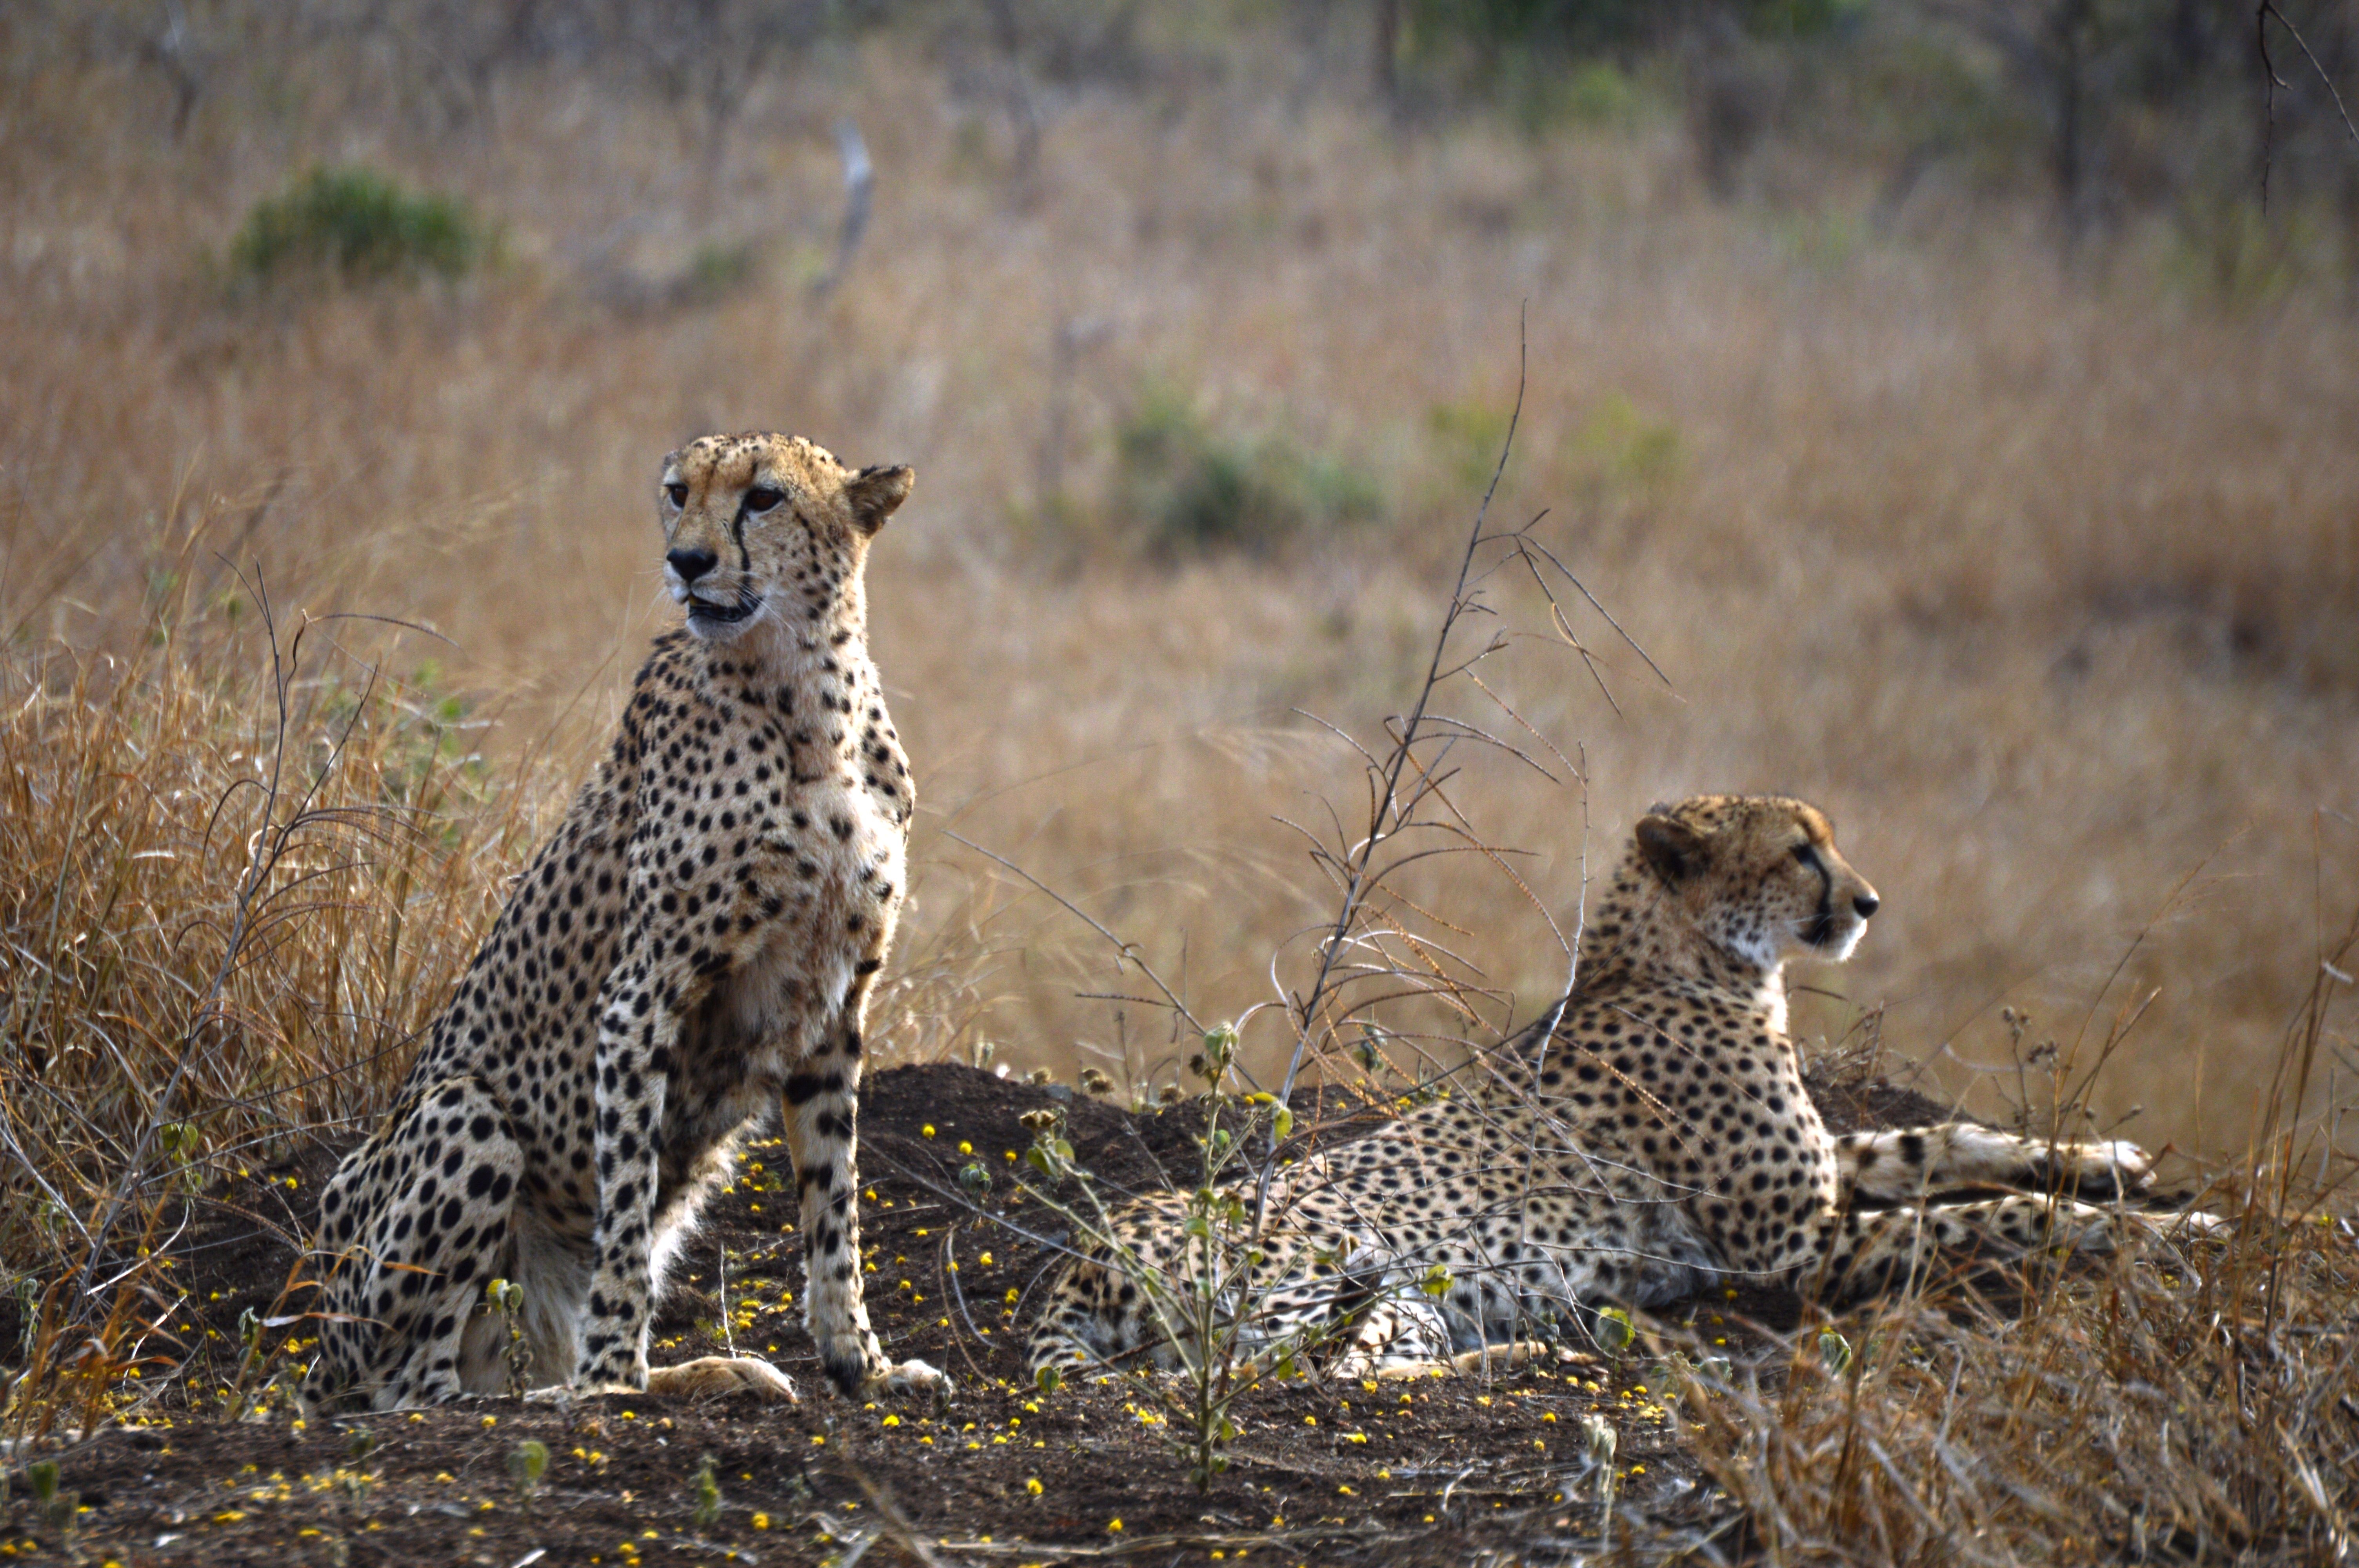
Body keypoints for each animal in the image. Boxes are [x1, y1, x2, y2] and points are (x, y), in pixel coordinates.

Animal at [304, 434, 939, 1415]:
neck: (804, 702)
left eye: (763, 498)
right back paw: (564, 1392)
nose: (688, 561)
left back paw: (704, 1370)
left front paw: (859, 1361)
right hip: (462, 1115)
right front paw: (608, 1377)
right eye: (678, 492)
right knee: (415, 1386)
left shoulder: (835, 1003)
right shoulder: (644, 994)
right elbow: (628, 1210)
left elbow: (834, 1206)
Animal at [1038, 797, 2189, 1367]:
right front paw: (2171, 1234)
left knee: (1361, 1358)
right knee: (1290, 1373)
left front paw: (2113, 1159)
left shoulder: (1826, 1177)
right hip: (1317, 1276)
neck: (1690, 963)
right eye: (1800, 852)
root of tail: (1080, 1255)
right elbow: (1993, 1216)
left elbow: (1946, 1144)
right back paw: (1545, 1355)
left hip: (1398, 1293)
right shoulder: (1793, 1248)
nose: (1869, 903)